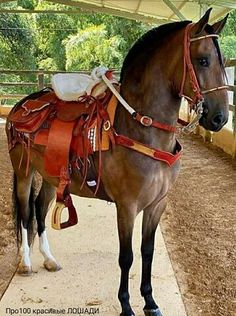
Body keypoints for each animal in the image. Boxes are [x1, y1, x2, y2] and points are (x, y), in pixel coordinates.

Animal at [6, 8, 230, 316]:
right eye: (203, 60)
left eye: (223, 61)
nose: (220, 118)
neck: (140, 128)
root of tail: (22, 105)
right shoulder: (127, 206)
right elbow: (127, 257)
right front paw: (126, 305)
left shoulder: (157, 205)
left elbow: (147, 252)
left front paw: (150, 301)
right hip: (24, 172)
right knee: (26, 213)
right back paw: (27, 263)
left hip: (51, 176)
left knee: (40, 210)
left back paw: (49, 259)